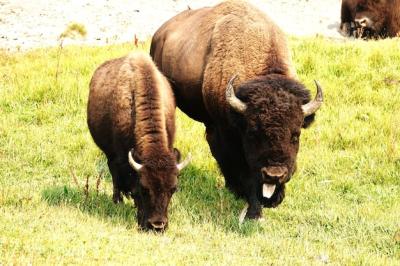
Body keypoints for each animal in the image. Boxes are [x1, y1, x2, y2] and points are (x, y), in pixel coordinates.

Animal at [86, 52, 190, 231]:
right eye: (144, 188)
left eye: (173, 189)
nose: (157, 225)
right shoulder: (121, 158)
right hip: (109, 154)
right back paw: (117, 199)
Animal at [152, 1, 324, 221]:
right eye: (254, 134)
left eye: (295, 135)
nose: (274, 174)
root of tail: (160, 34)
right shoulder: (224, 134)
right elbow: (241, 168)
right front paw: (251, 206)